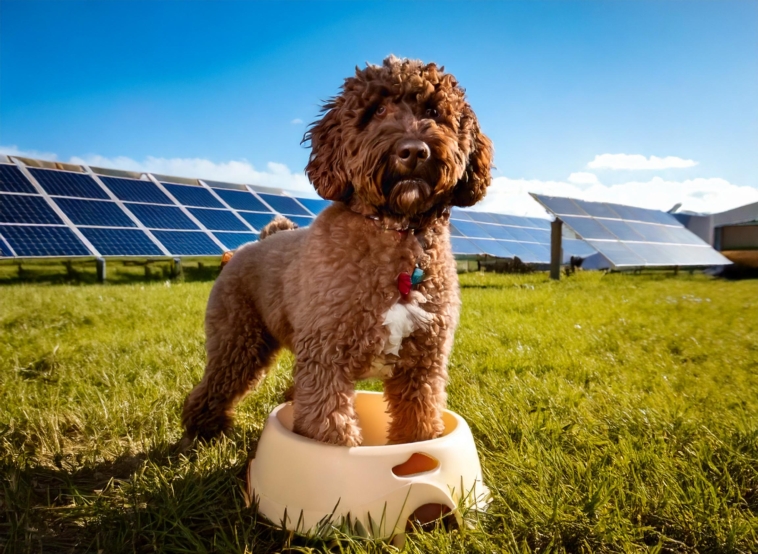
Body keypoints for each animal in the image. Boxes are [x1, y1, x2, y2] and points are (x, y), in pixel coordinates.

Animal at [182, 55, 496, 444]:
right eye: (377, 110)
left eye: (434, 111)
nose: (412, 151)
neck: (396, 233)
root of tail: (249, 246)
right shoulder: (326, 357)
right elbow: (329, 428)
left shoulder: (422, 365)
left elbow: (419, 425)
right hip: (238, 340)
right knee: (215, 384)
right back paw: (203, 429)